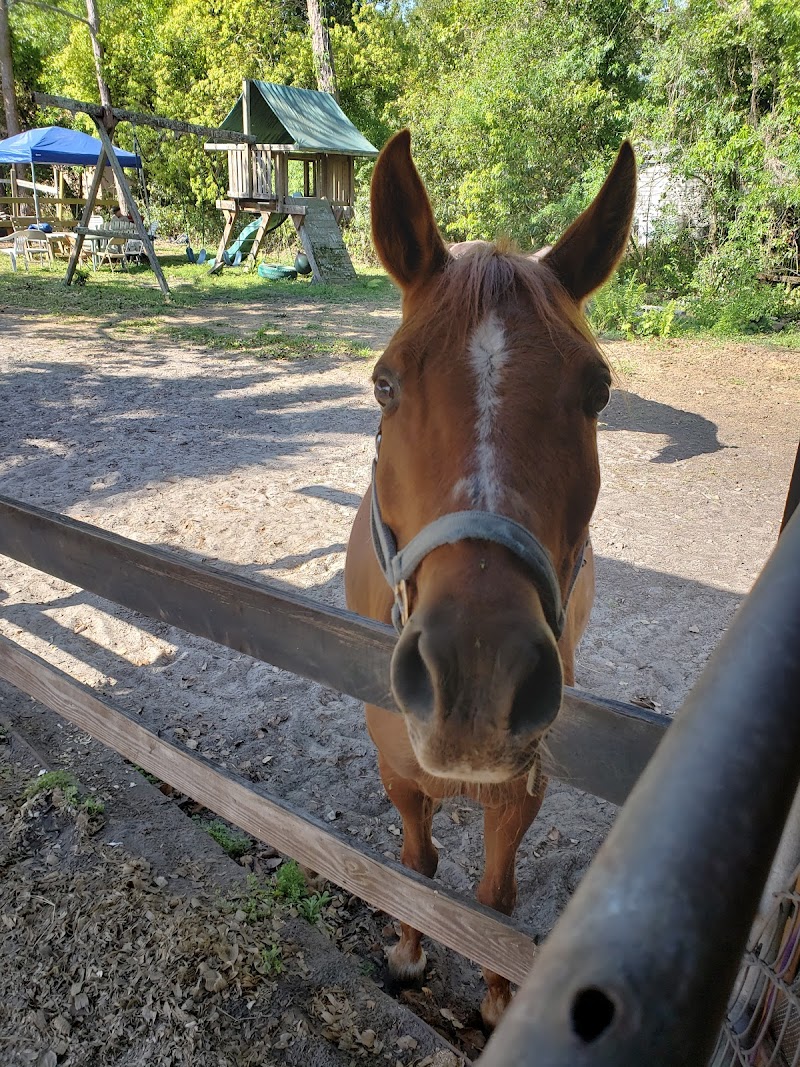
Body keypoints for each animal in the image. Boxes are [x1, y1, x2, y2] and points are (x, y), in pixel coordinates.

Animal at [344, 130, 636, 1027]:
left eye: (598, 391)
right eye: (386, 382)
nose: (479, 675)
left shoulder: (518, 791)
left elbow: (494, 901)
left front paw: (501, 996)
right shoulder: (396, 766)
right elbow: (416, 862)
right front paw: (408, 953)